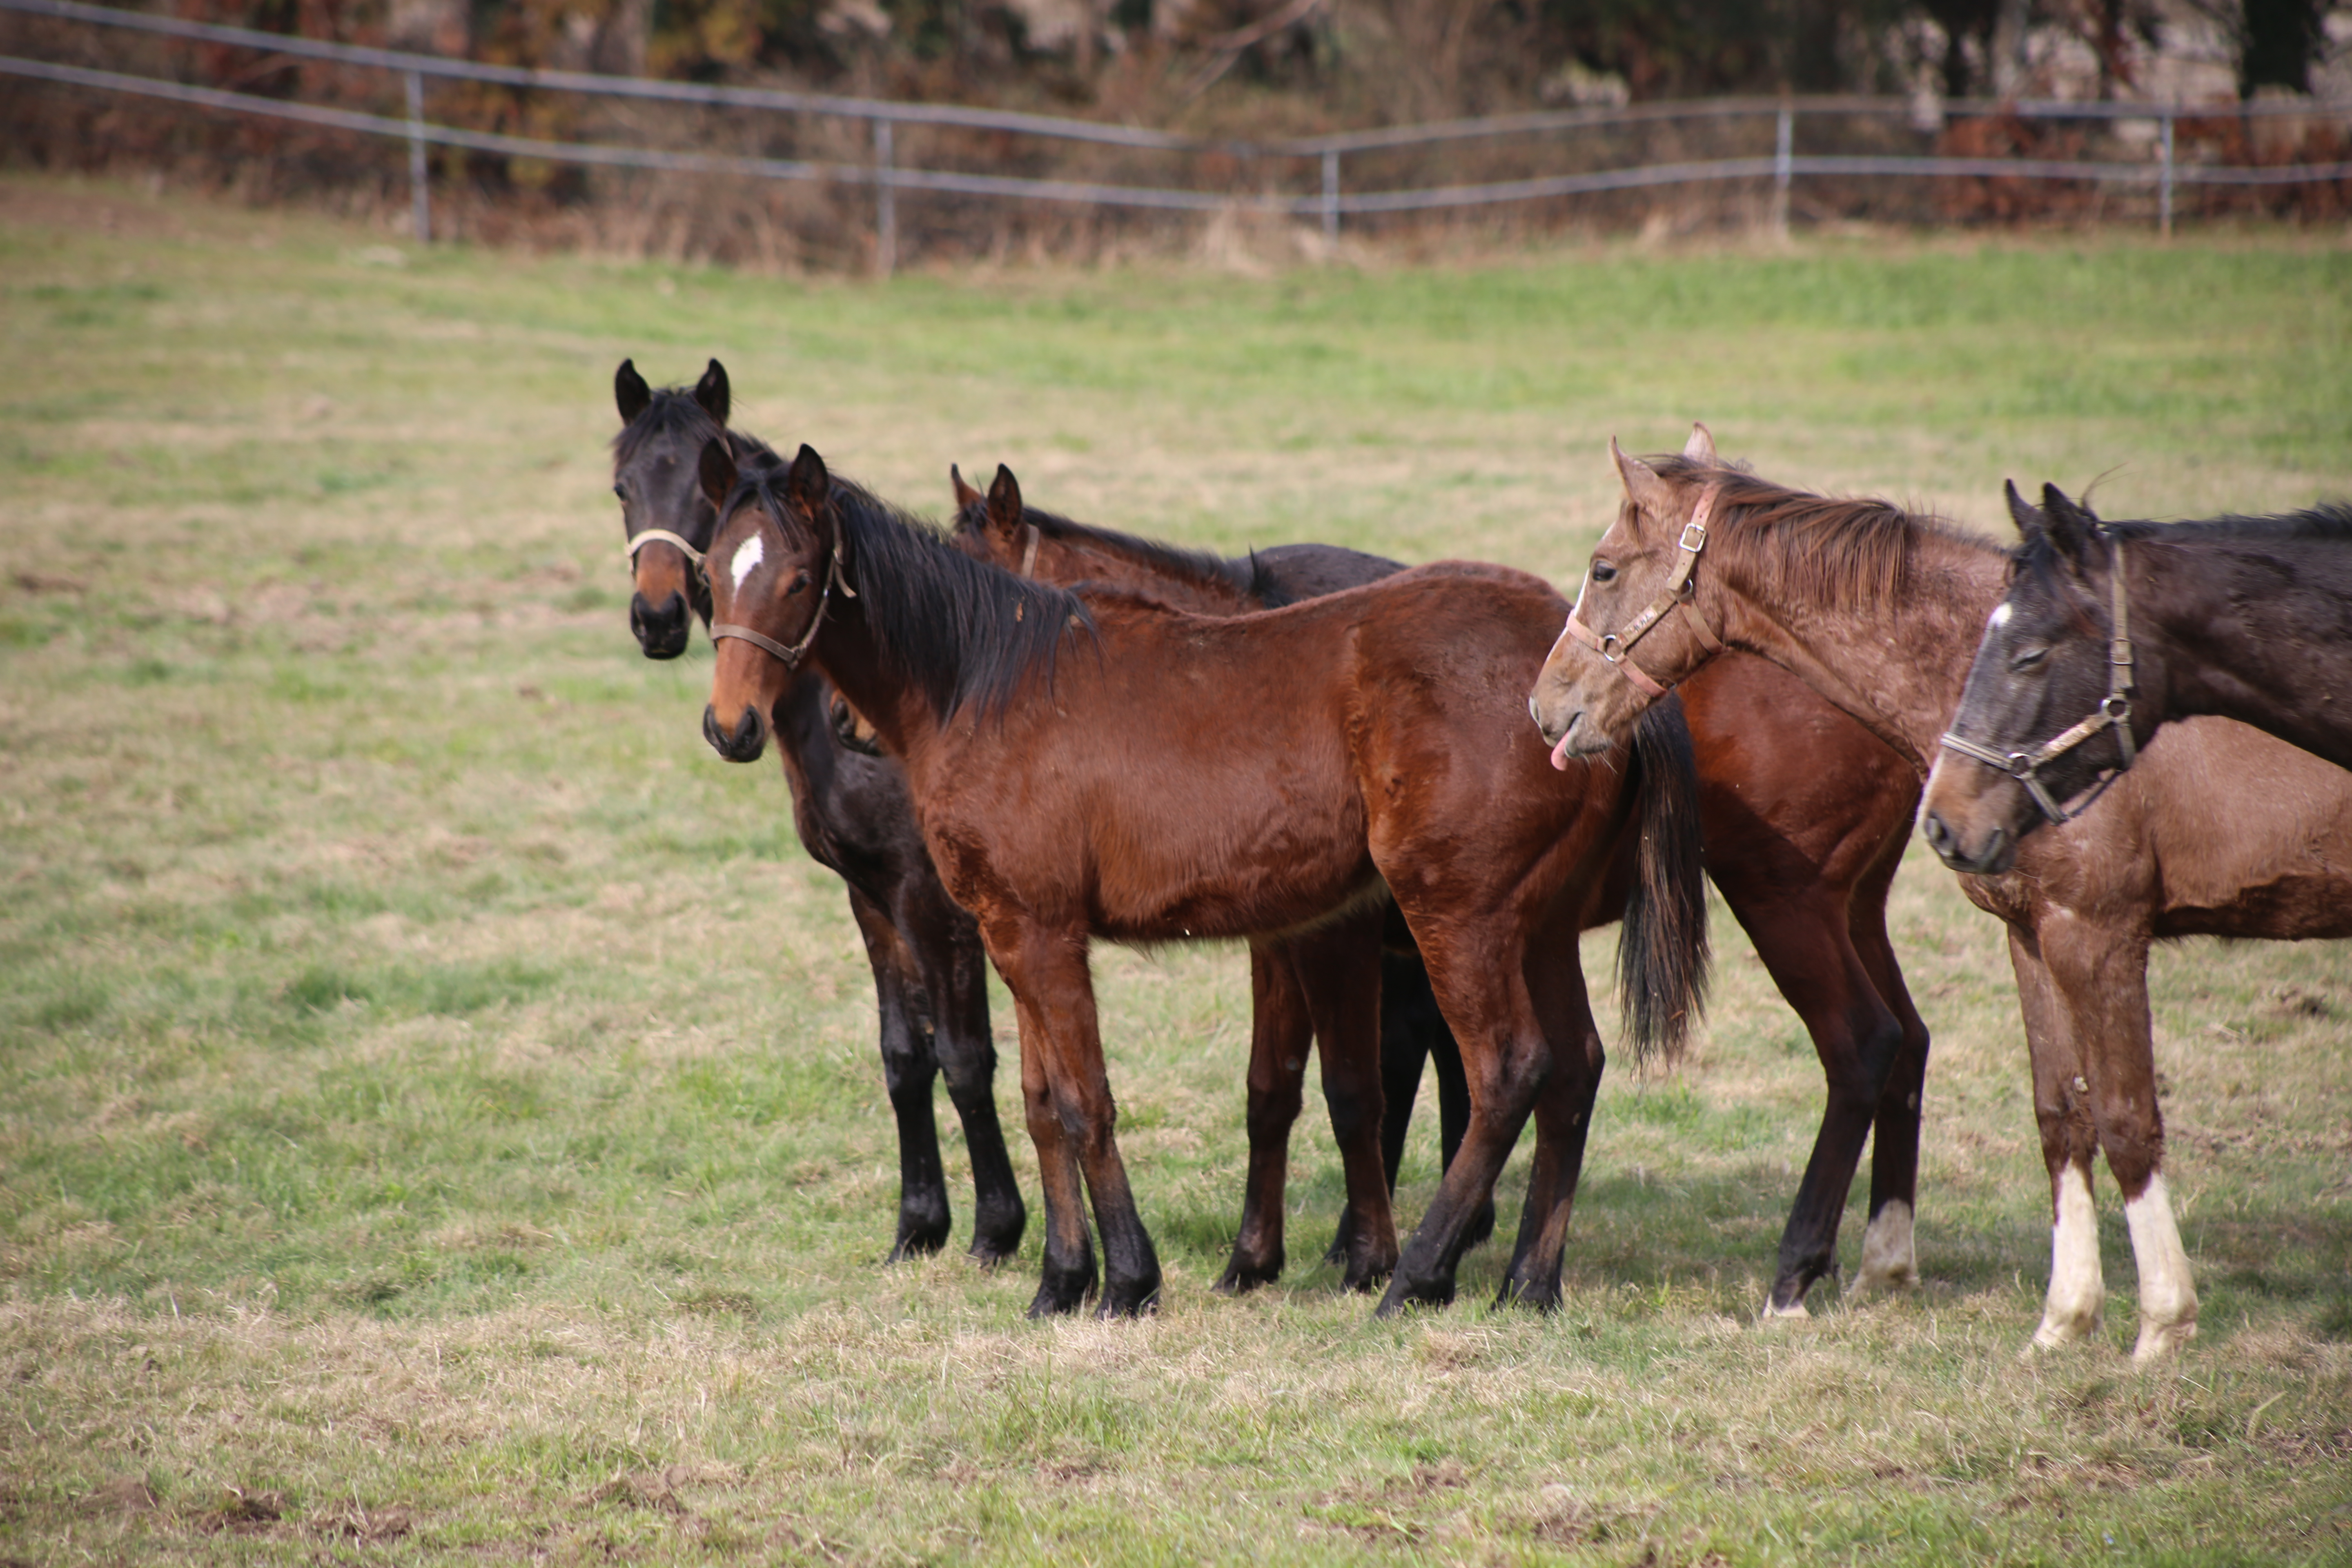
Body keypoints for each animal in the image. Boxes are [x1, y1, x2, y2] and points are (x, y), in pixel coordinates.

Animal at [611, 362, 1025, 1269]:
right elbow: (905, 1056)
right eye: (623, 487)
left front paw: (997, 1230)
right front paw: (919, 1225)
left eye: (699, 493)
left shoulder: (935, 902)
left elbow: (966, 1057)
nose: (657, 618)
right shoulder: (869, 894)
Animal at [696, 444, 1712, 1326]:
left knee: (1508, 1070)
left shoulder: (1047, 936)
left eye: (798, 580)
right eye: (712, 574)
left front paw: (1125, 1281)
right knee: (1573, 1069)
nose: (732, 725)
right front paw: (1061, 1280)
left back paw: (1416, 1278)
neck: (991, 682)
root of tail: (1586, 684)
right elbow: (1043, 1104)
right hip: (1536, 929)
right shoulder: (1011, 930)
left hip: (1458, 916)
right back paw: (1527, 1285)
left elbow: (1088, 1103)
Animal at [945, 456, 1938, 1326]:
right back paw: (1877, 1256)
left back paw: (1791, 1266)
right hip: (1842, 913)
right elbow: (1272, 1090)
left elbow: (1353, 1089)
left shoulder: (1335, 940)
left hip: (1778, 902)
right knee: (1903, 1044)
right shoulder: (1283, 939)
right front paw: (1256, 1259)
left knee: (1857, 1045)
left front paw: (1366, 1255)